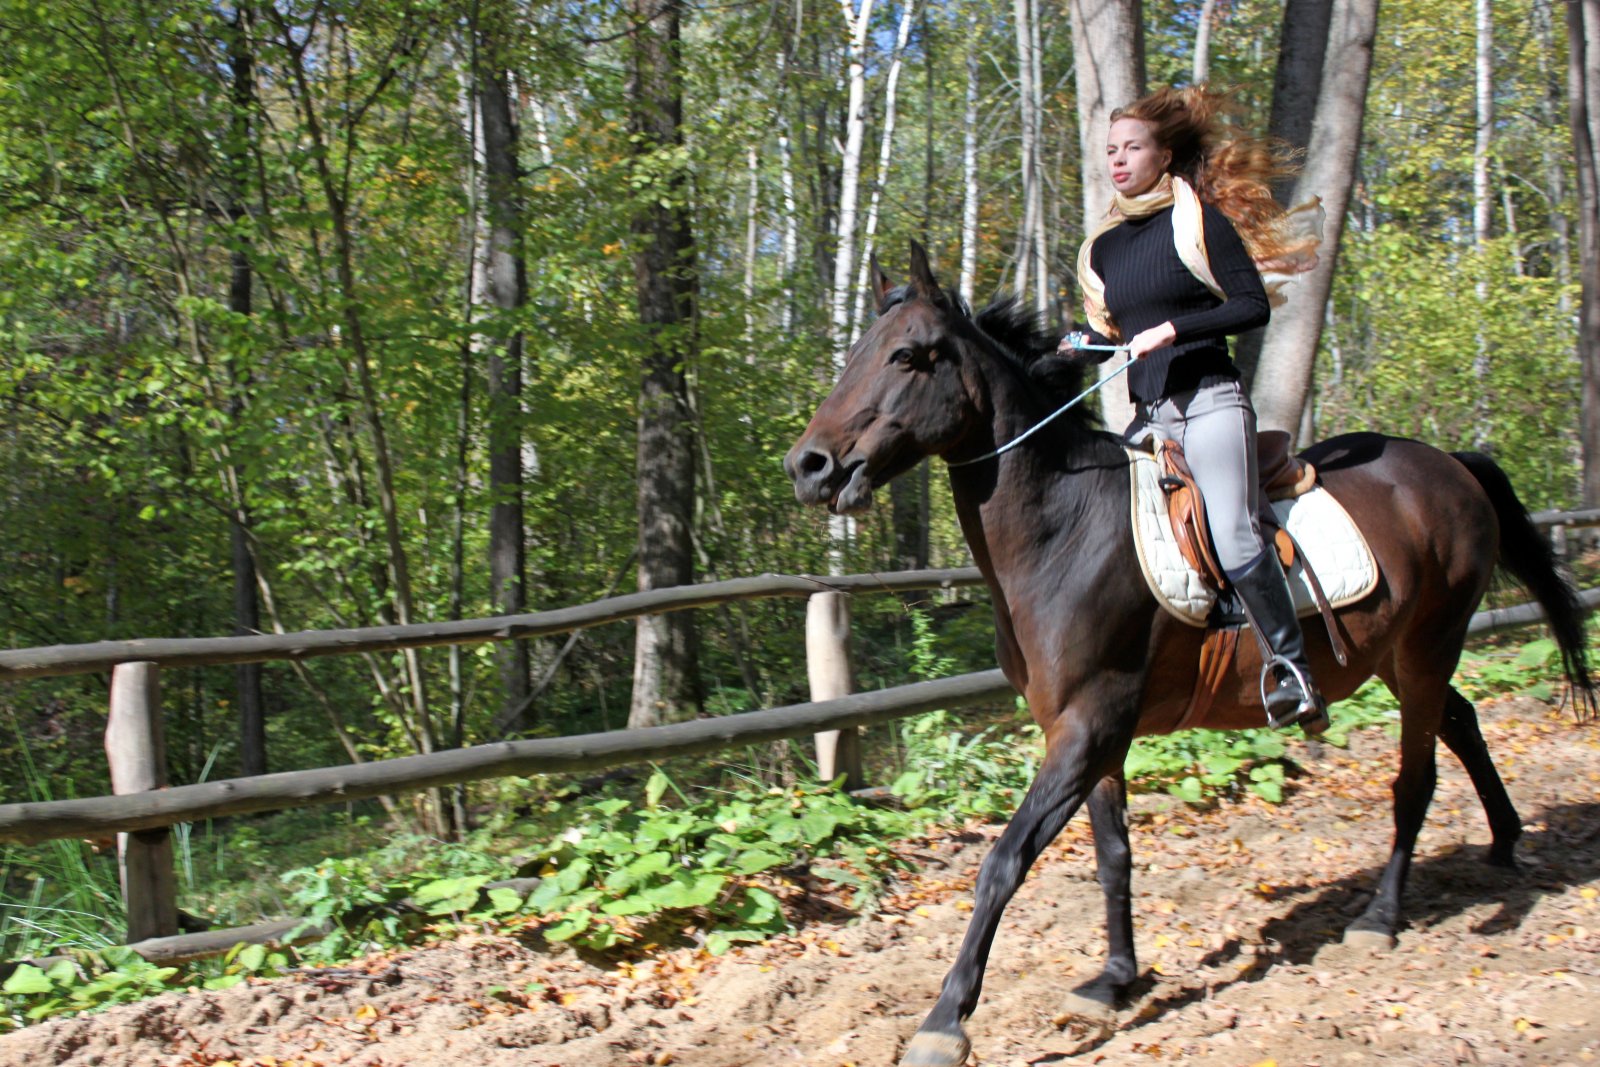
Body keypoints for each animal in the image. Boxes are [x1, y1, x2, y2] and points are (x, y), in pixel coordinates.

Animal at [783, 243, 1597, 1067]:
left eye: (909, 356)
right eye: (856, 354)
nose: (809, 465)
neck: (1065, 528)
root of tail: (1450, 465)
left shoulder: (1090, 726)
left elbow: (1005, 860)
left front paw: (946, 1020)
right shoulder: (1088, 732)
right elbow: (1112, 853)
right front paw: (1115, 978)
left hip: (1430, 646)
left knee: (1417, 775)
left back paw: (1381, 915)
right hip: (1397, 656)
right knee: (1461, 722)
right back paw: (1505, 840)